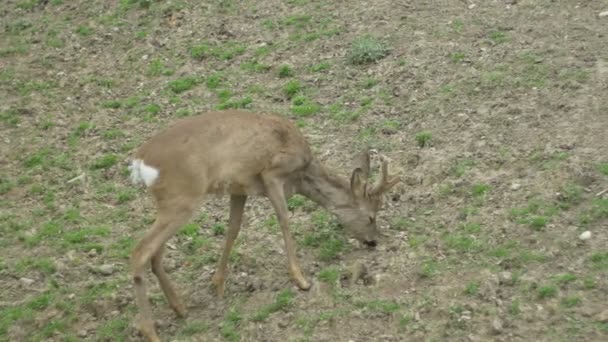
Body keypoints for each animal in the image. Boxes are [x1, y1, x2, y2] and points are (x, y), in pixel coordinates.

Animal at [128, 110, 400, 342]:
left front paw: (218, 283)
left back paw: (180, 308)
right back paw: (150, 331)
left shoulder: (239, 189)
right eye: (371, 217)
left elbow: (233, 230)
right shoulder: (272, 173)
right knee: (141, 251)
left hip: (172, 204)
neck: (301, 174)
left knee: (155, 253)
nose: (373, 241)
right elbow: (284, 220)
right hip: (182, 197)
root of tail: (140, 161)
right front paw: (301, 279)